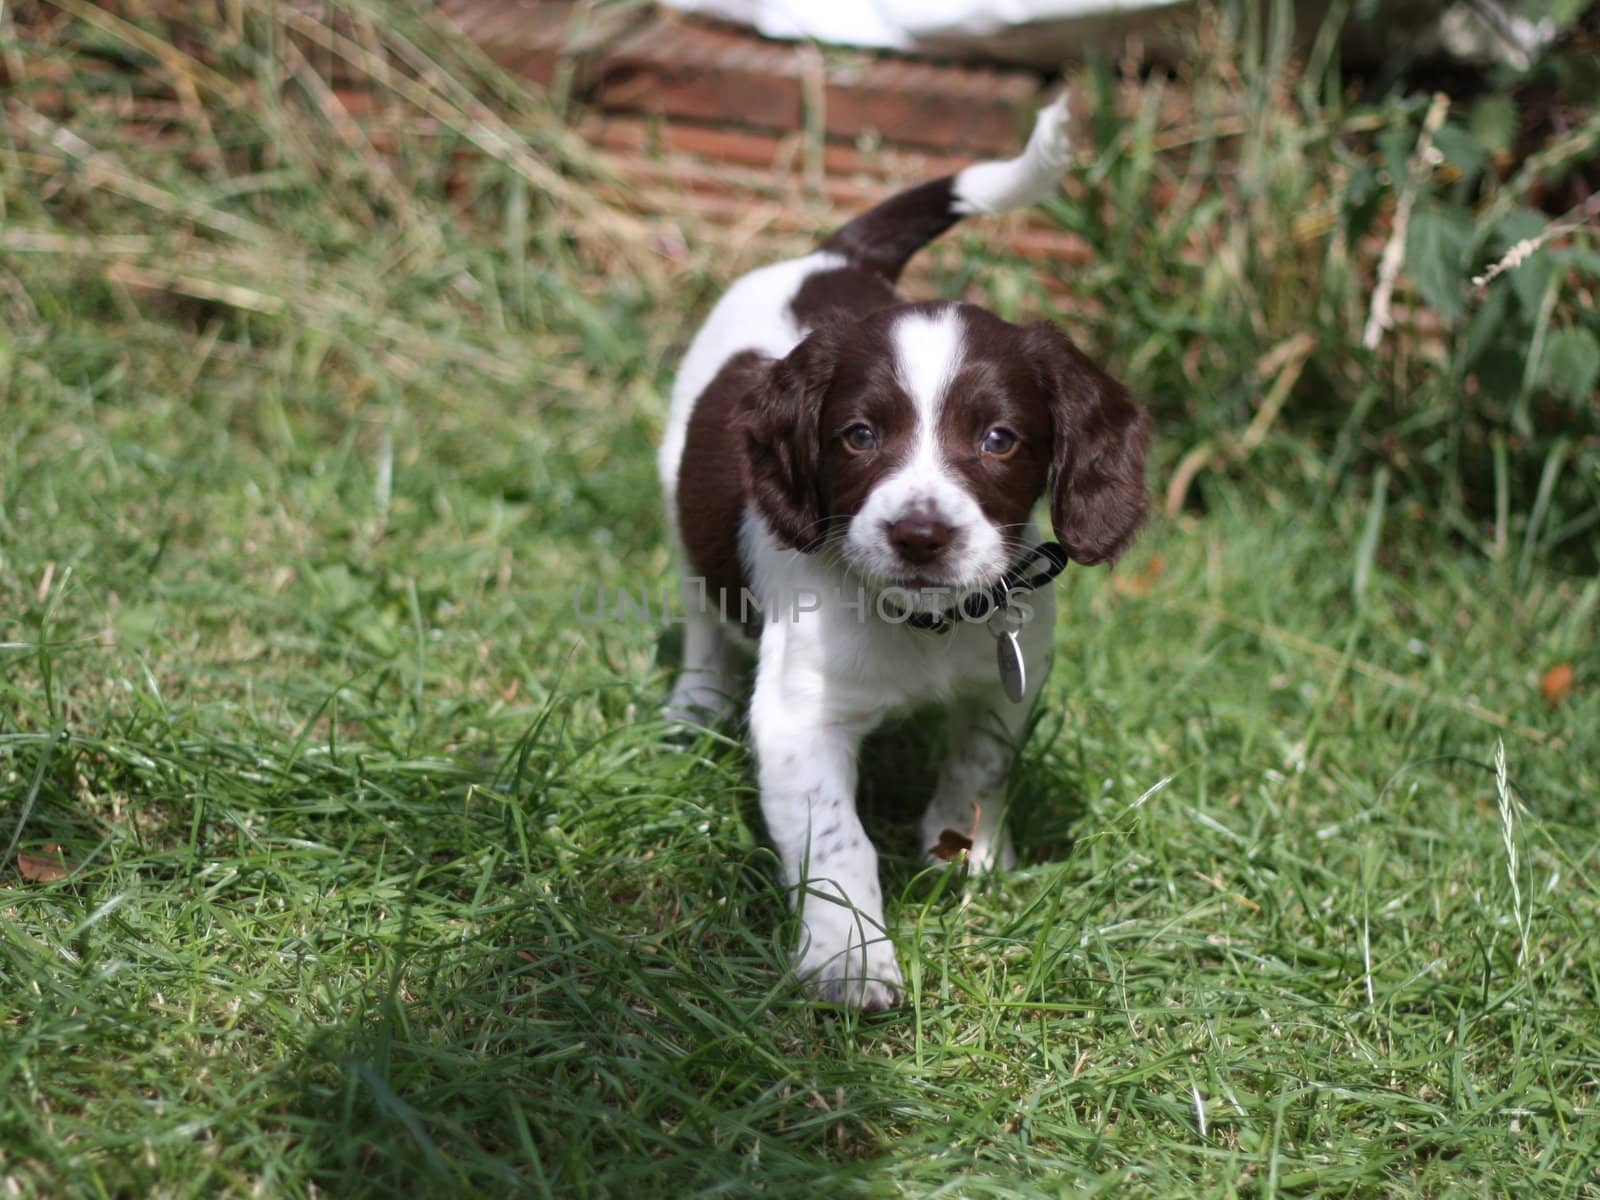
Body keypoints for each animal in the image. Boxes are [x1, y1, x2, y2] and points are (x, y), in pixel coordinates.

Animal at [656, 96, 1145, 1017]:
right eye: (858, 435)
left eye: (999, 439)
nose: (921, 536)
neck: (926, 622)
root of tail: (834, 257)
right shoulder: (798, 720)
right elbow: (838, 843)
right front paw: (850, 958)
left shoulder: (1010, 677)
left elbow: (979, 768)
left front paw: (967, 856)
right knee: (702, 607)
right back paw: (694, 703)